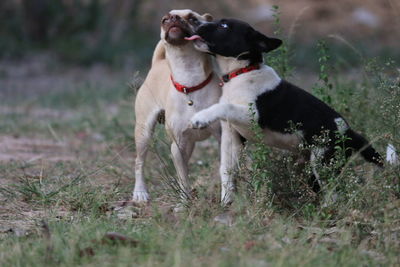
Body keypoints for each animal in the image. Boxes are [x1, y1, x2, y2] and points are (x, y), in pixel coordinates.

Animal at [134, 9, 222, 203]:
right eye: (164, 20)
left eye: (193, 19)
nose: (173, 18)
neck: (190, 83)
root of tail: (157, 63)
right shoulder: (178, 147)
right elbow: (183, 178)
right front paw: (184, 203)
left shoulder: (222, 137)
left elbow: (226, 167)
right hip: (144, 133)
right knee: (139, 162)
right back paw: (140, 192)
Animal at [186, 18, 390, 203]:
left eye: (224, 26)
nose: (195, 24)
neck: (243, 72)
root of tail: (349, 132)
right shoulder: (232, 136)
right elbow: (227, 171)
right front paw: (226, 203)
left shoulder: (253, 116)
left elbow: (224, 106)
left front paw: (200, 117)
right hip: (312, 165)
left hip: (324, 162)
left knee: (334, 193)